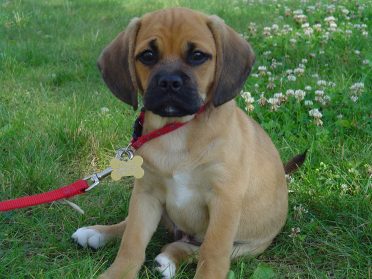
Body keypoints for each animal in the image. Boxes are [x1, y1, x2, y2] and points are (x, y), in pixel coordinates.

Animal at [73, 7, 306, 279]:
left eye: (197, 56)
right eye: (148, 55)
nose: (169, 82)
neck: (177, 130)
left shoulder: (224, 200)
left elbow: (212, 252)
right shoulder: (146, 193)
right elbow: (132, 240)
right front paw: (118, 273)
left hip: (246, 246)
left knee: (193, 248)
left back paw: (169, 256)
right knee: (131, 225)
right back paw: (97, 233)